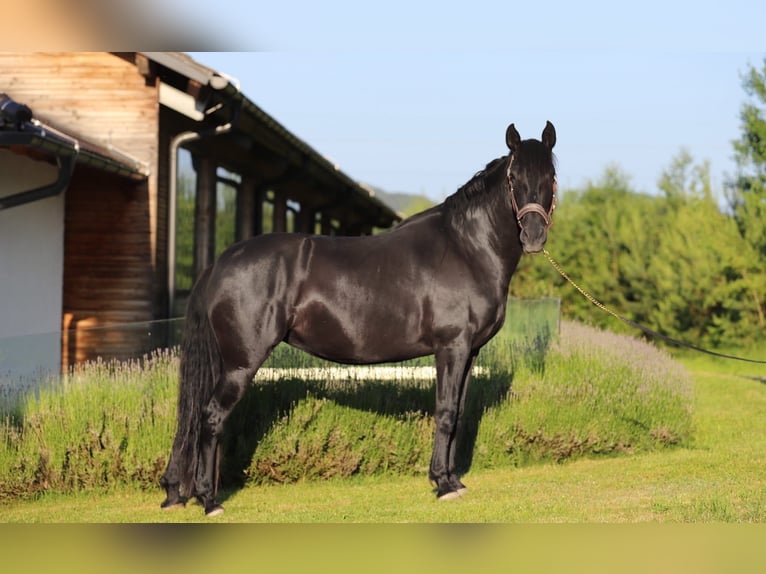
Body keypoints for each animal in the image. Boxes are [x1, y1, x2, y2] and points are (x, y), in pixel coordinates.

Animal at [160, 121, 558, 516]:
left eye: (550, 176)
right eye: (513, 178)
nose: (533, 236)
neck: (466, 248)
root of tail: (221, 262)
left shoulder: (470, 352)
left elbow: (458, 414)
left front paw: (451, 479)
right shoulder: (451, 348)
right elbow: (445, 412)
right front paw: (443, 485)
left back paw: (183, 491)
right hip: (240, 364)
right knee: (211, 417)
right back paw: (209, 500)